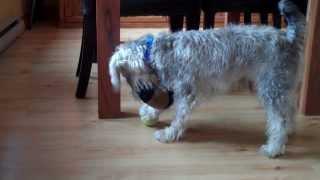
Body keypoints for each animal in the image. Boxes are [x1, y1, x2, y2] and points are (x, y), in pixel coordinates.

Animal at [109, 0, 304, 158]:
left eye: (125, 74)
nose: (141, 95)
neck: (156, 51)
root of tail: (288, 38)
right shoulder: (177, 90)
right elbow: (163, 104)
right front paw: (149, 113)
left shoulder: (185, 92)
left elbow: (179, 116)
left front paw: (169, 134)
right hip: (282, 86)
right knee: (290, 110)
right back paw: (289, 131)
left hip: (271, 88)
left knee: (279, 120)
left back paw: (274, 148)